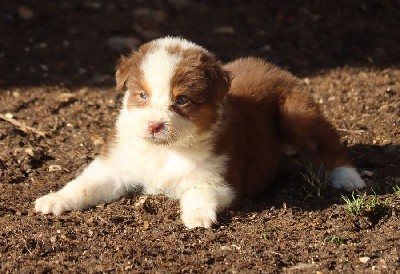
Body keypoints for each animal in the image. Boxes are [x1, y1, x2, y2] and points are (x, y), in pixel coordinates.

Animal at [35, 37, 366, 229]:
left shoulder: (219, 178)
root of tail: (268, 64)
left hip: (296, 112)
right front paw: (53, 200)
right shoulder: (117, 164)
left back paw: (349, 178)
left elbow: (198, 190)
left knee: (329, 141)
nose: (153, 125)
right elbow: (85, 184)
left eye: (181, 100)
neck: (165, 149)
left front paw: (196, 217)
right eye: (142, 95)